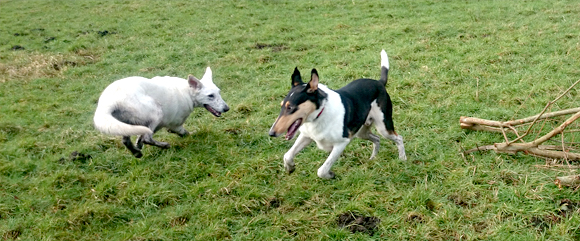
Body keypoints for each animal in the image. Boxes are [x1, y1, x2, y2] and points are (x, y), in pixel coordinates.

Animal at [93, 67, 229, 158]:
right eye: (210, 96)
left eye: (219, 92)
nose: (226, 108)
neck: (187, 92)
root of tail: (108, 103)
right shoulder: (175, 125)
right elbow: (184, 133)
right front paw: (193, 135)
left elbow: (140, 138)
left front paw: (138, 145)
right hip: (156, 111)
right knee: (147, 138)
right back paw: (164, 145)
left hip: (125, 124)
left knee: (127, 140)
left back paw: (136, 152)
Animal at [270, 50, 406, 179]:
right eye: (282, 105)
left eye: (290, 107)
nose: (271, 133)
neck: (320, 114)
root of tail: (379, 82)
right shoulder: (306, 136)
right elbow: (287, 155)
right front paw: (290, 167)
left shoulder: (341, 143)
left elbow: (322, 170)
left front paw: (330, 175)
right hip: (361, 131)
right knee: (377, 139)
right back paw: (373, 158)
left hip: (383, 127)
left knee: (399, 138)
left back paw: (402, 159)